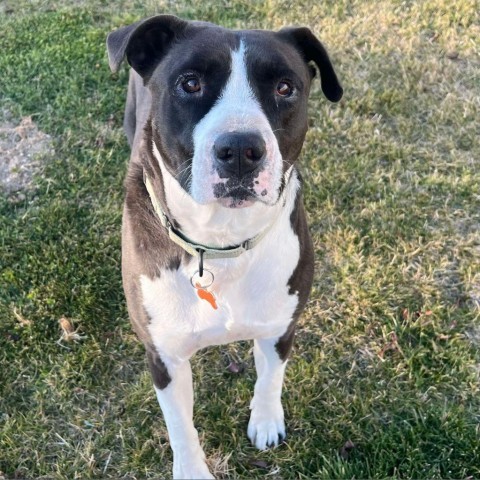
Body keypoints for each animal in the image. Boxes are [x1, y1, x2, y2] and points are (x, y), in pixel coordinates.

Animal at [107, 15, 344, 480]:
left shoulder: (280, 327)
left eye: (285, 87)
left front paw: (266, 421)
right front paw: (192, 470)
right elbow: (181, 427)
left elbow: (270, 379)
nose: (239, 150)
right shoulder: (163, 356)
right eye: (190, 83)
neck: (220, 243)